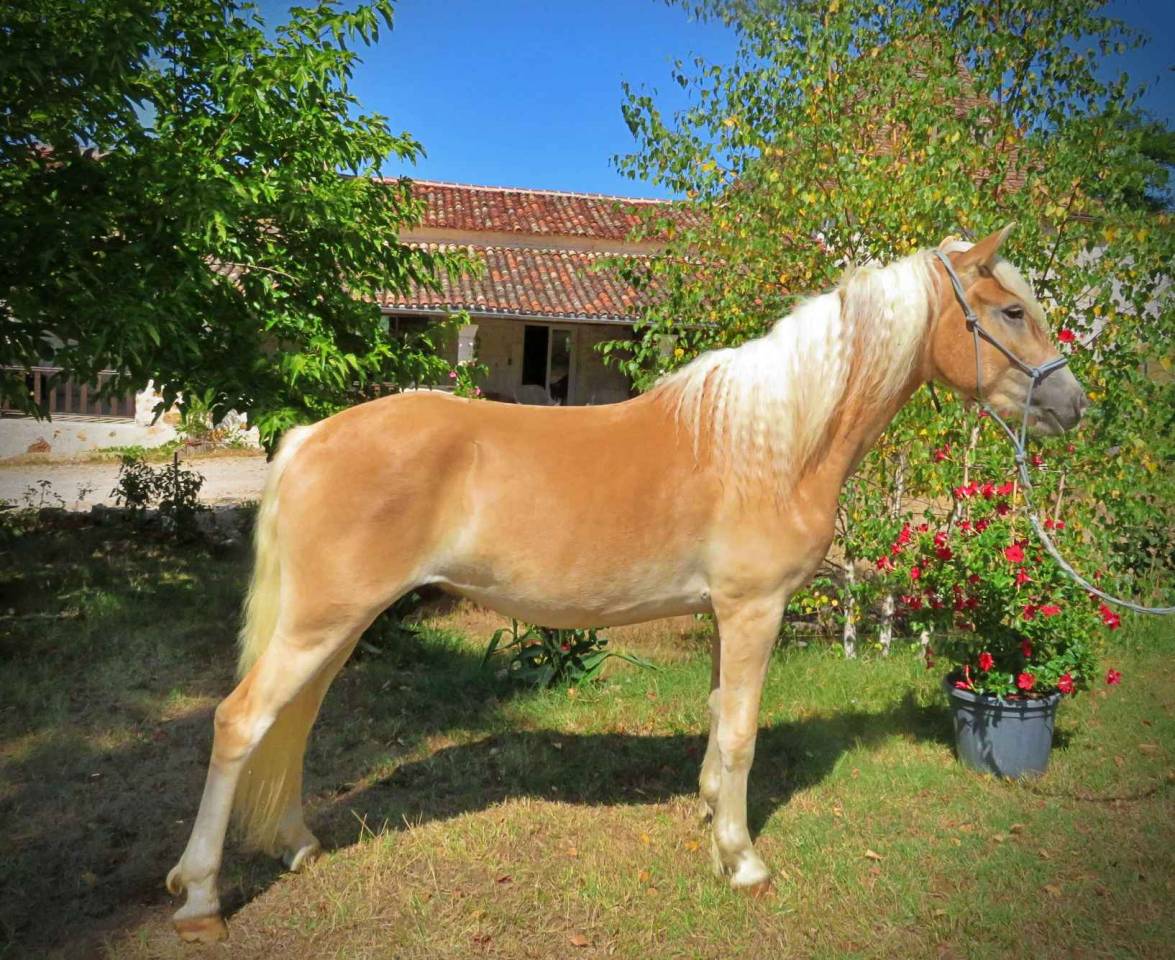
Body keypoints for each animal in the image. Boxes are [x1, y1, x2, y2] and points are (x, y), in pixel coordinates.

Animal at [165, 225, 1088, 941]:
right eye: (1011, 311)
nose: (1074, 406)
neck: (772, 443)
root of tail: (311, 437)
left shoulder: (724, 615)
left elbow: (717, 723)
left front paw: (712, 823)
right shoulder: (754, 610)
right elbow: (742, 732)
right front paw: (742, 861)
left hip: (336, 623)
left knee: (294, 723)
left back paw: (296, 845)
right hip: (322, 620)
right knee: (241, 722)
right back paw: (200, 897)